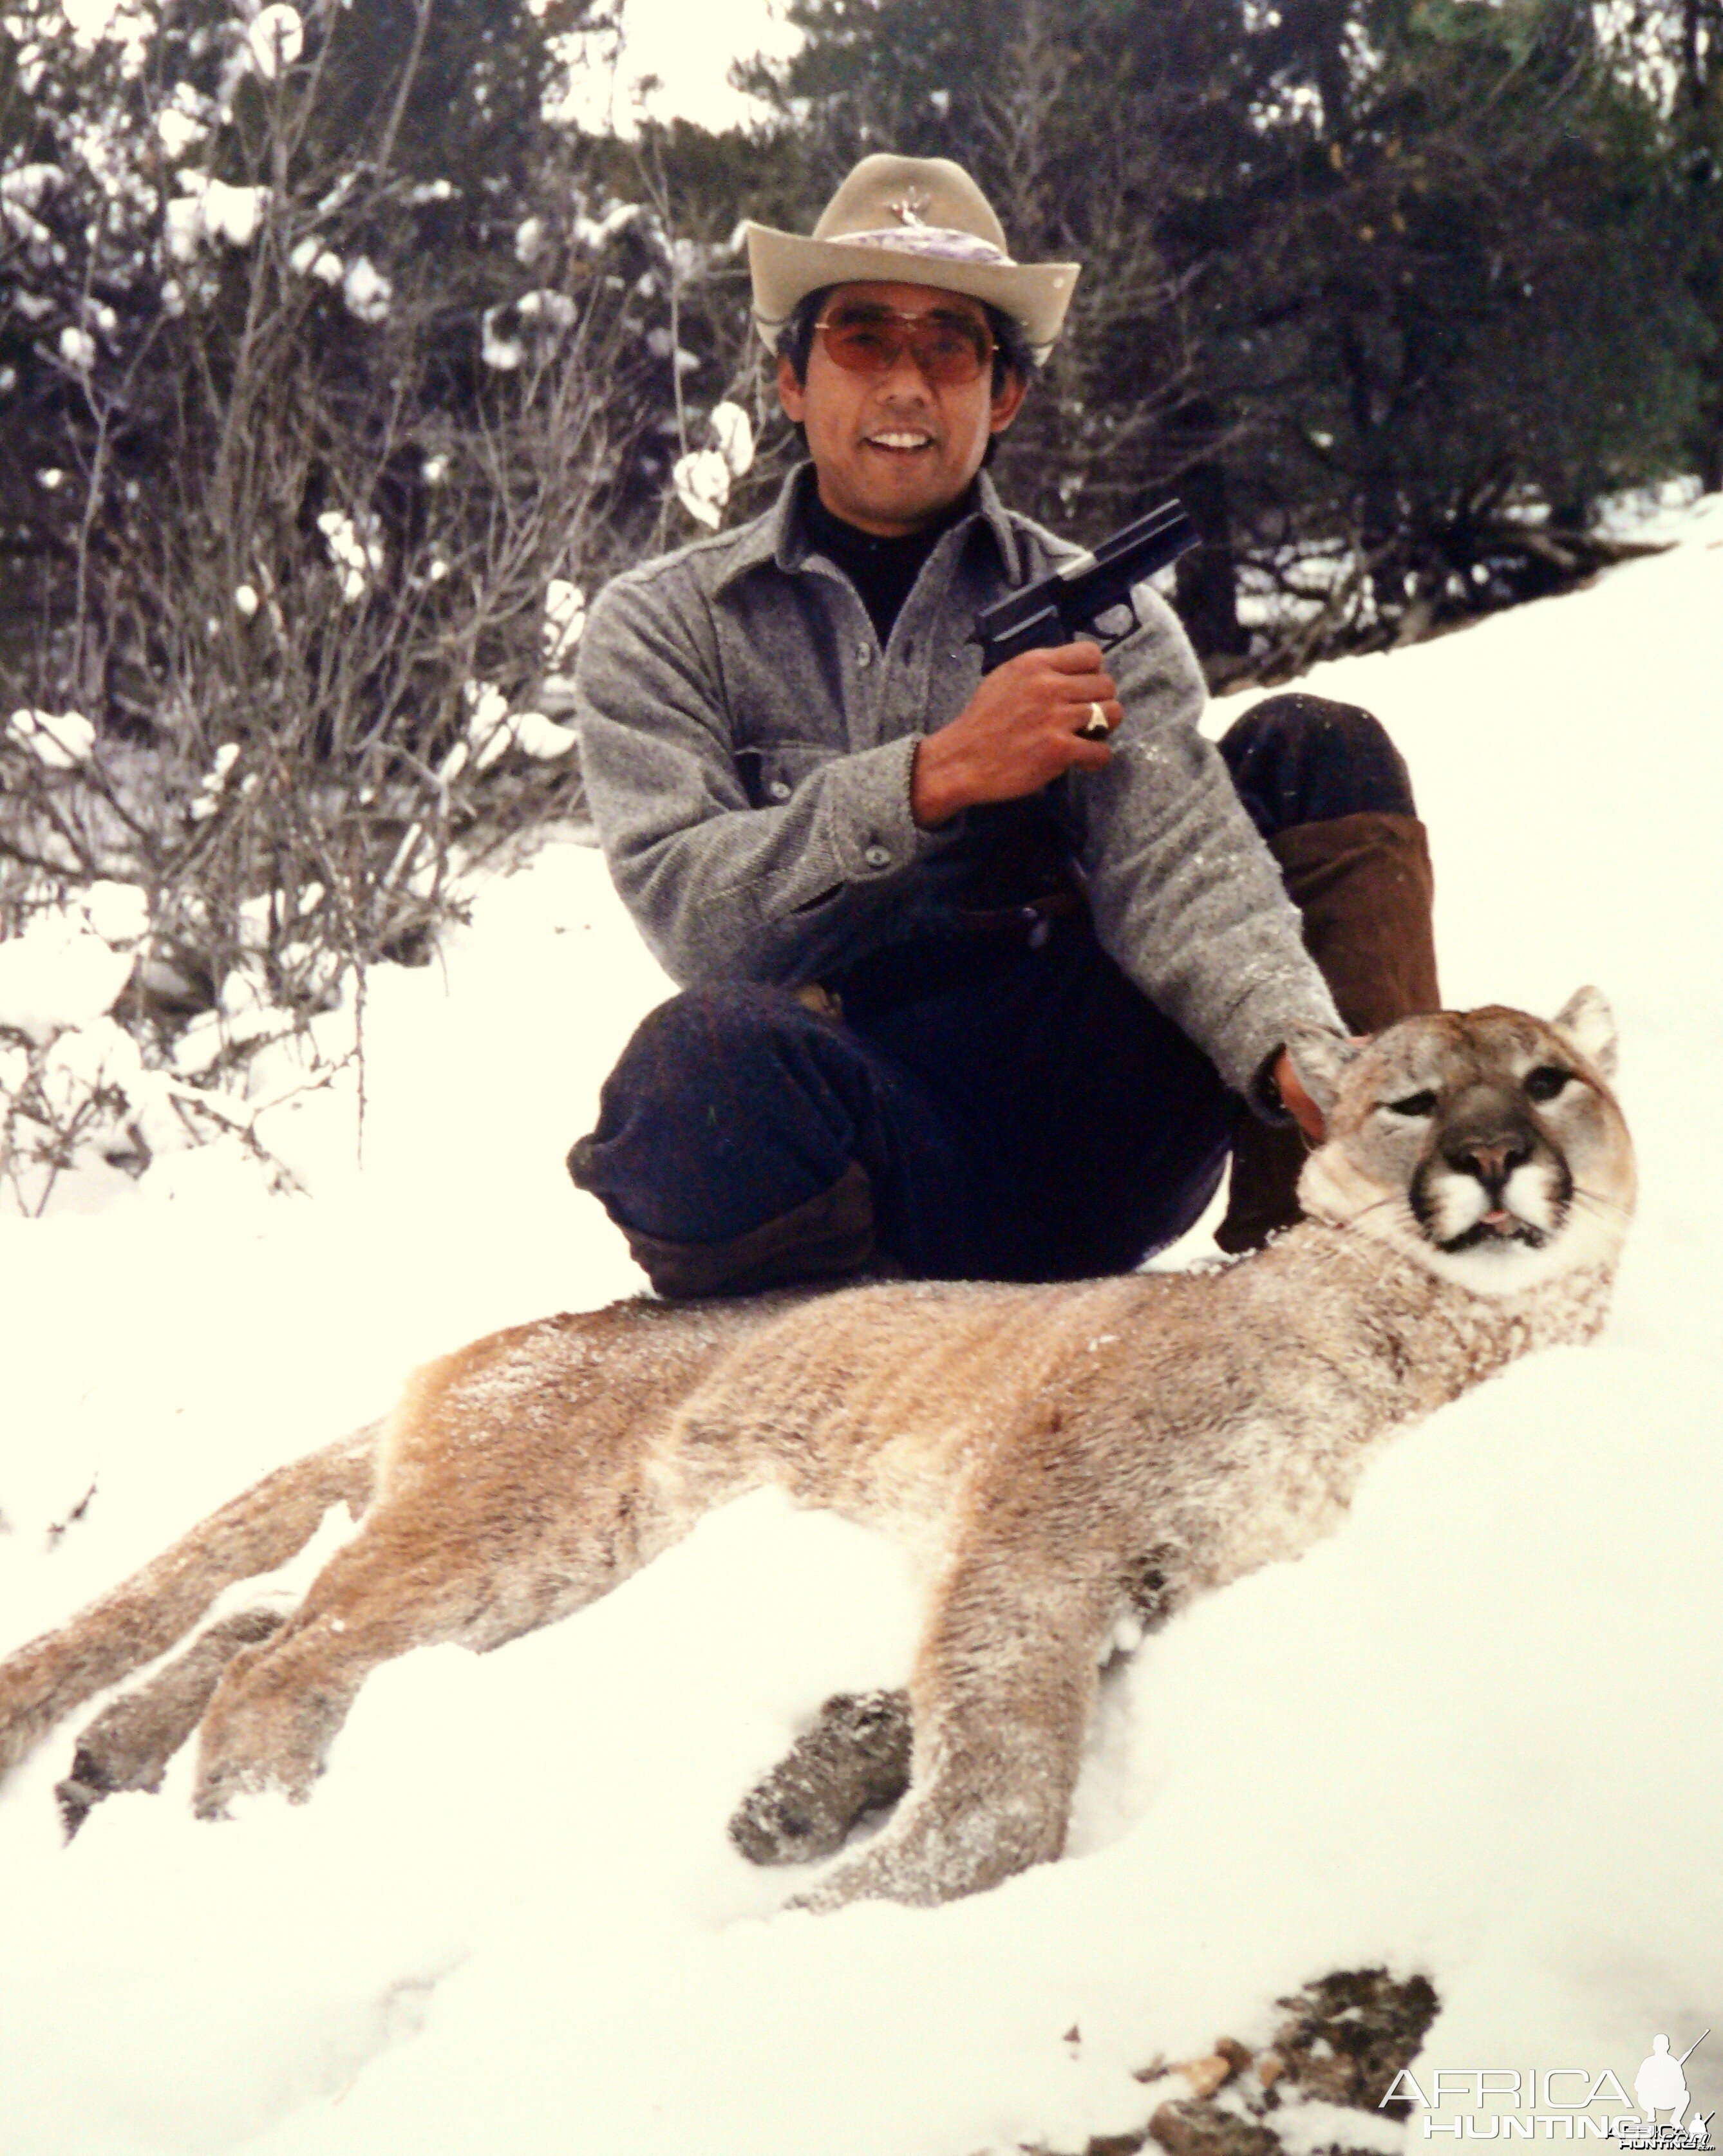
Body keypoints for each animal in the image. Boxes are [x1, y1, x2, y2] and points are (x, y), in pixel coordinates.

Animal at [0, 987, 1630, 1906]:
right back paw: (240, 1834)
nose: (1494, 1158)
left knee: (267, 1615)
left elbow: (946, 1713)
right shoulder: (1045, 1507)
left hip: (553, 1570)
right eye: (1413, 1099)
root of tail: (491, 1339)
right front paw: (852, 1900)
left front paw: (809, 1802)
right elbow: (1001, 1772)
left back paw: (107, 1762)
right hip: (516, 1533)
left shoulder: (1137, 1564)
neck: (1447, 1349)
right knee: (287, 1653)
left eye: (1549, 1078)